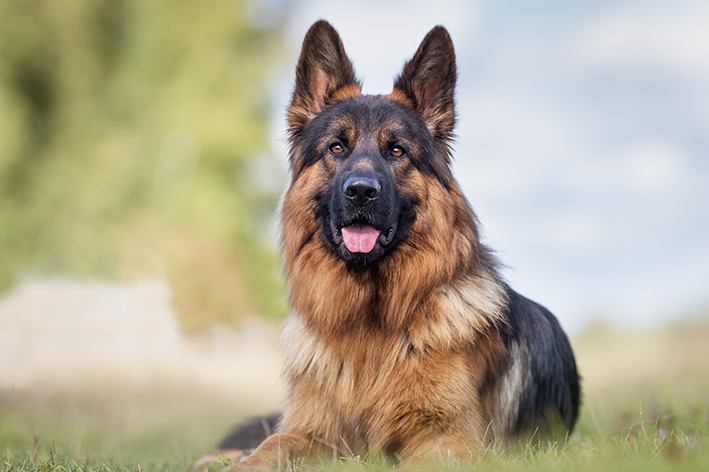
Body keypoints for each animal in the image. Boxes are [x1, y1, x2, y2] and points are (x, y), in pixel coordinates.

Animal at [198, 19, 576, 472]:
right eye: (336, 147)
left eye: (396, 150)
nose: (361, 191)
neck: (370, 324)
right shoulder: (315, 432)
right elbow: (271, 445)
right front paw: (242, 460)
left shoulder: (449, 441)